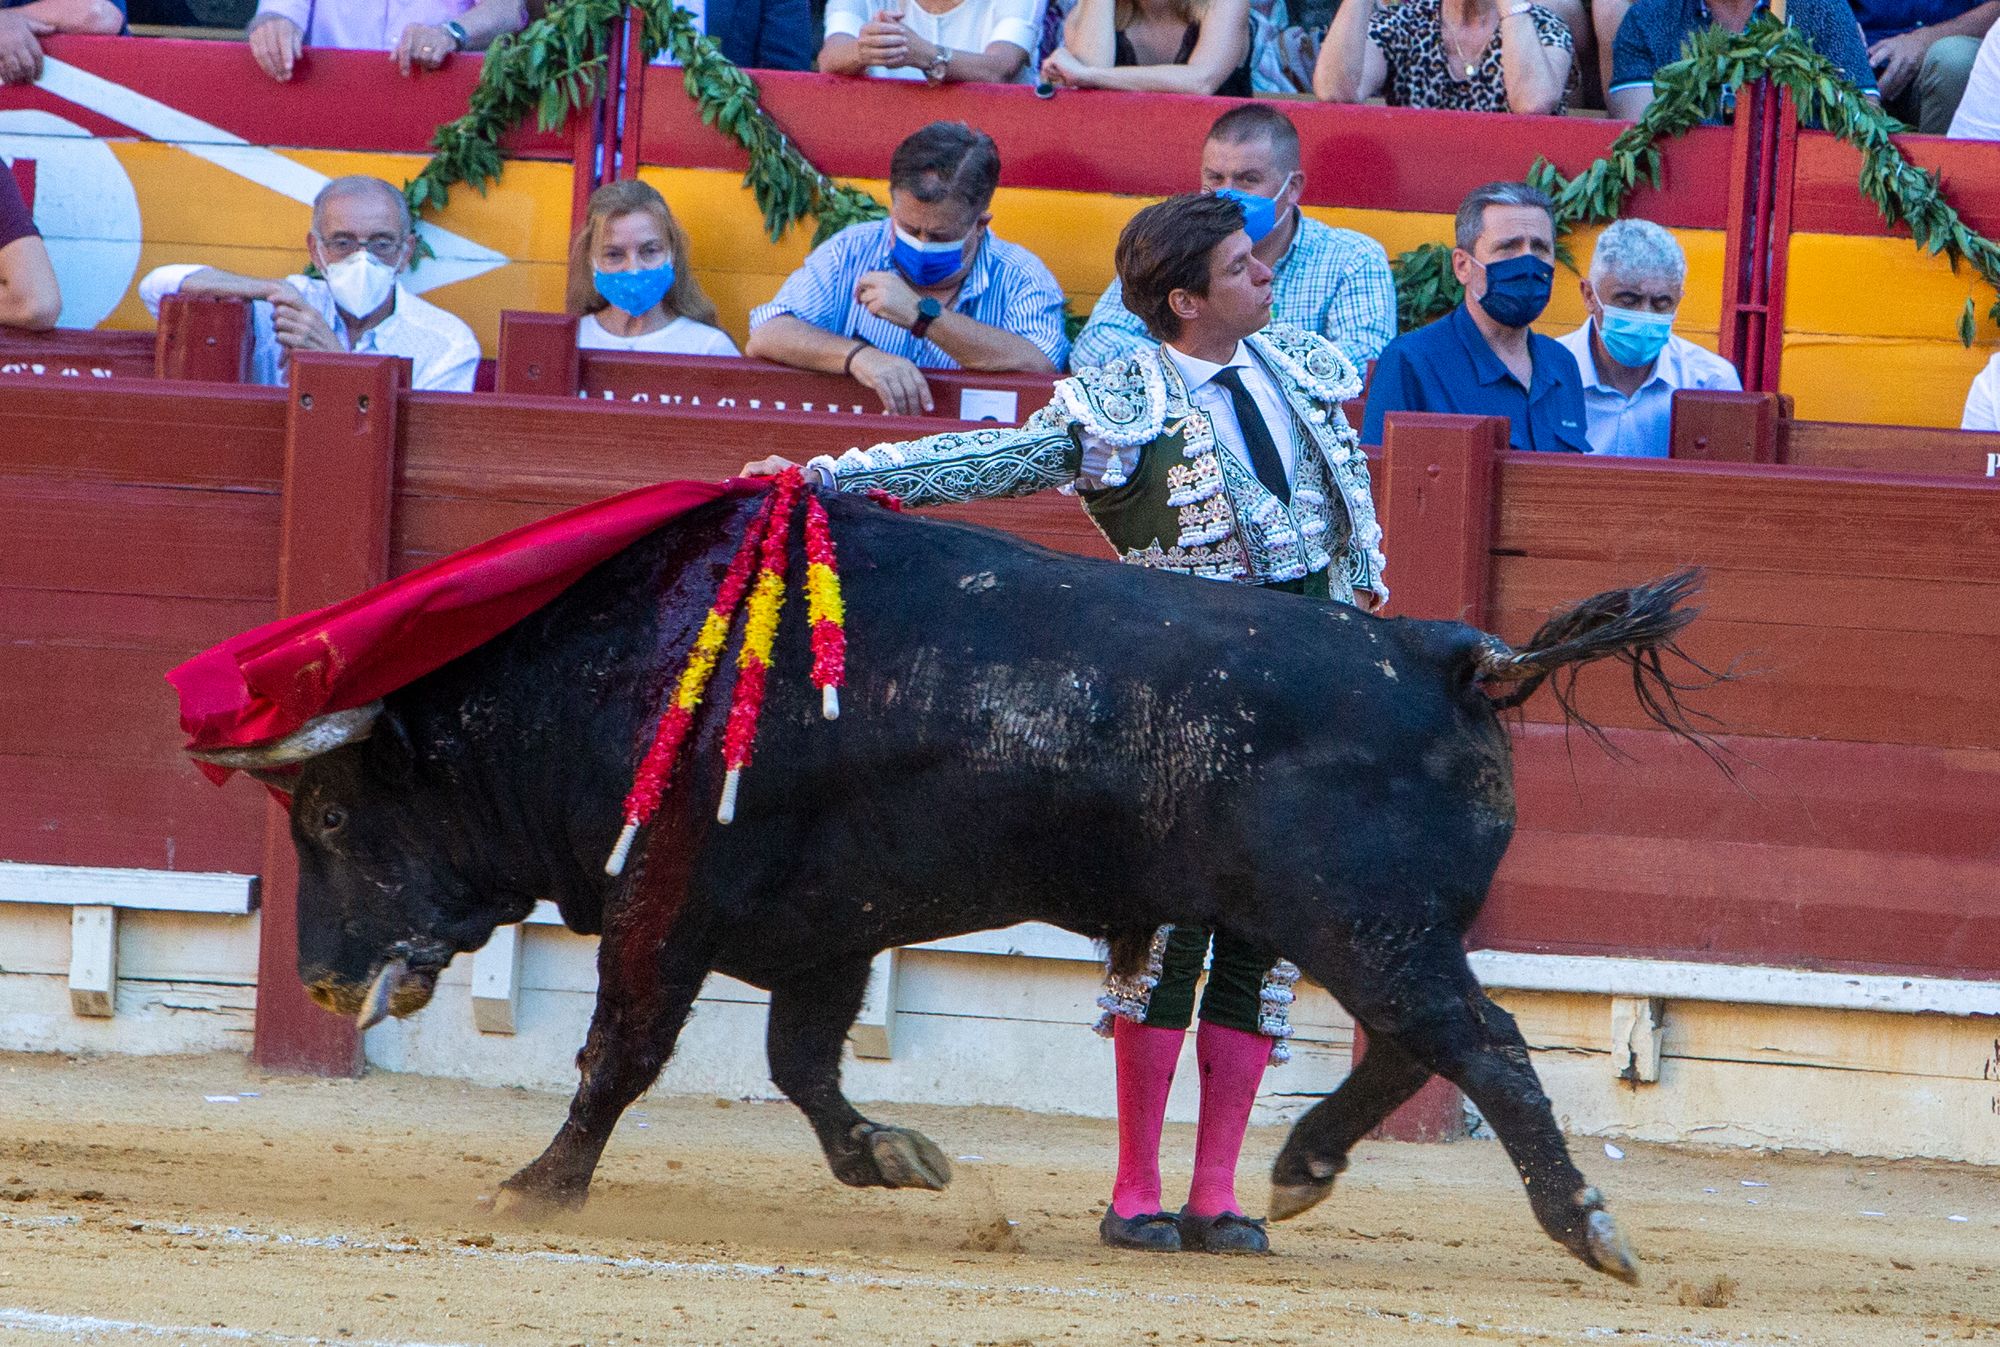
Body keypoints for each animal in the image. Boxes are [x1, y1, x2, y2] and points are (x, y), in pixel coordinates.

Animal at [195, 493, 1712, 1279]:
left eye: (331, 808)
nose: (319, 973)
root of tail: (1448, 652)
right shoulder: (824, 928)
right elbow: (801, 1062)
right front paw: (892, 1156)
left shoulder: (662, 901)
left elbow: (619, 1049)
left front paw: (536, 1187)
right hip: (1358, 929)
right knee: (1412, 1045)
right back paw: (1293, 1173)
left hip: (1363, 922)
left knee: (1480, 1043)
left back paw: (1583, 1228)